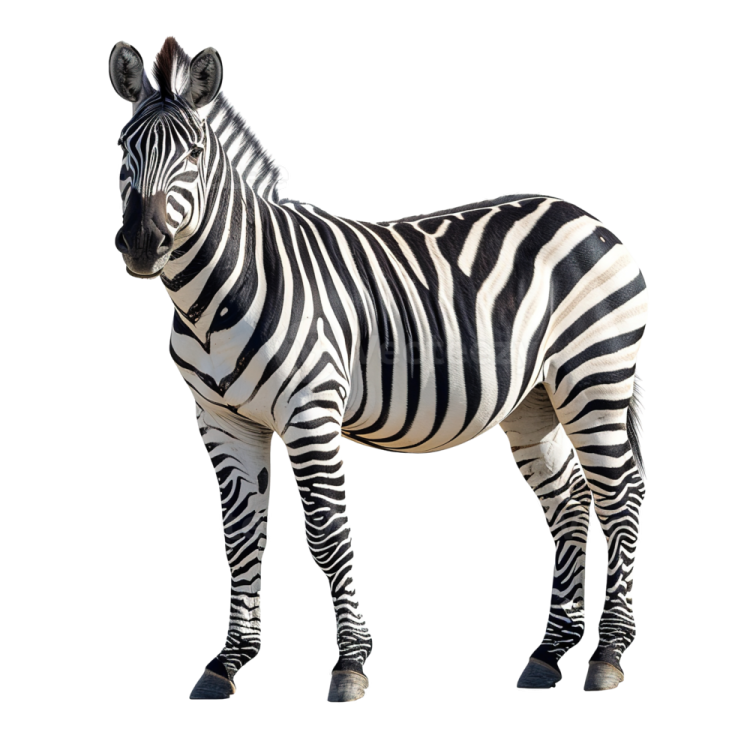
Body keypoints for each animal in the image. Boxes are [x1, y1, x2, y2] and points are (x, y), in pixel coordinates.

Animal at [108, 36, 649, 699]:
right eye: (123, 152)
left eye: (194, 153)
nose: (141, 244)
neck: (226, 286)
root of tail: (583, 215)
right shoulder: (221, 419)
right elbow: (239, 537)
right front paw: (226, 662)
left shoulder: (310, 411)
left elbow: (327, 535)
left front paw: (349, 665)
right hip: (535, 401)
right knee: (570, 505)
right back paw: (548, 654)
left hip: (594, 374)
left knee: (620, 501)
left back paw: (607, 656)